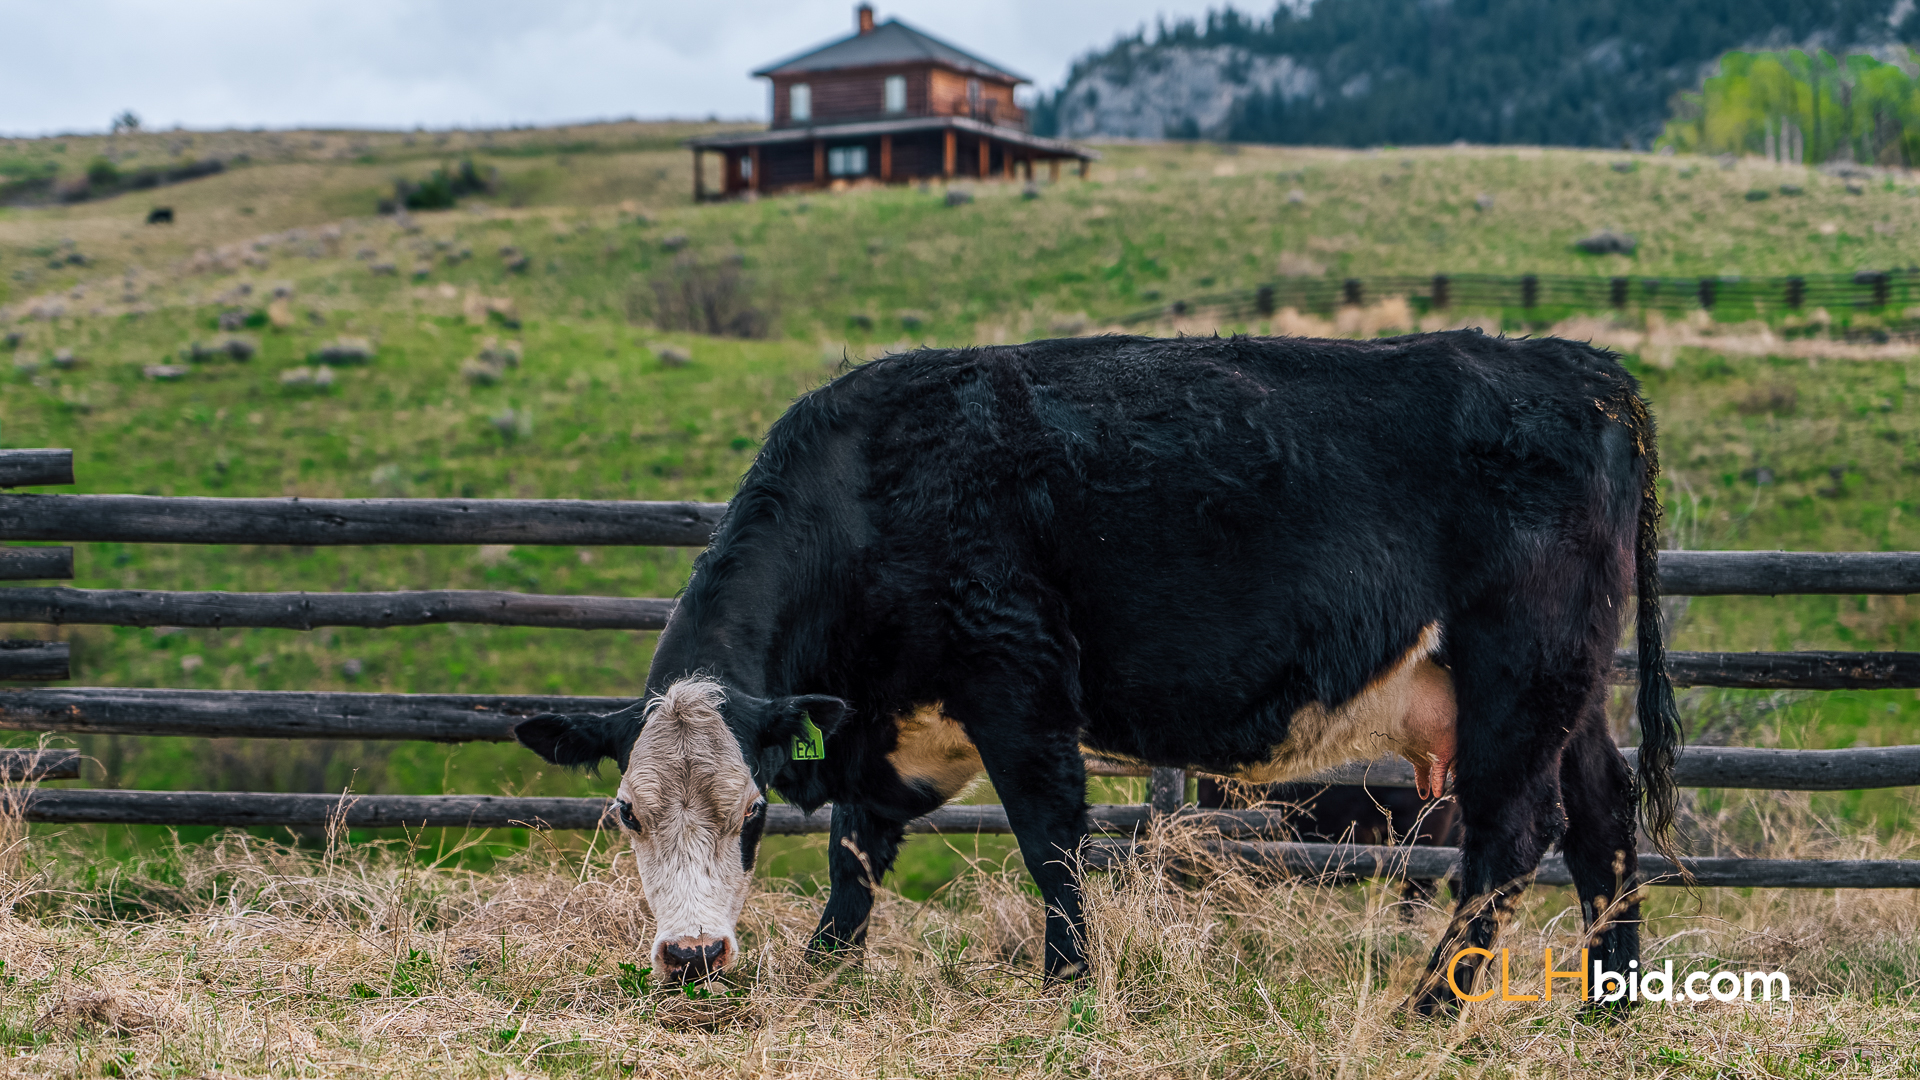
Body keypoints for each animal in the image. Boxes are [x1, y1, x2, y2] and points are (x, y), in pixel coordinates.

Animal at [515, 331, 1680, 1013]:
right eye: (627, 812)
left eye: (751, 813)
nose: (692, 956)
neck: (874, 490)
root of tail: (1578, 367)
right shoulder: (890, 722)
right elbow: (856, 853)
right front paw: (823, 972)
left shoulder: (1018, 680)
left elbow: (1050, 842)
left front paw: (1069, 982)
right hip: (1570, 688)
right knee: (1602, 817)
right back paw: (1611, 999)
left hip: (1519, 672)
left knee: (1515, 834)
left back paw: (1431, 1003)